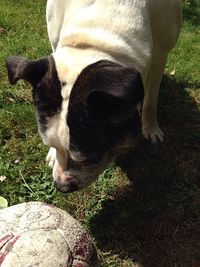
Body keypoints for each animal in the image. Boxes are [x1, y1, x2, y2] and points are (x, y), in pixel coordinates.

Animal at [5, 0, 181, 193]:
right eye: (50, 143)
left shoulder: (159, 55)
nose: (61, 186)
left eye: (89, 158)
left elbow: (151, 98)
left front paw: (150, 127)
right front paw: (52, 153)